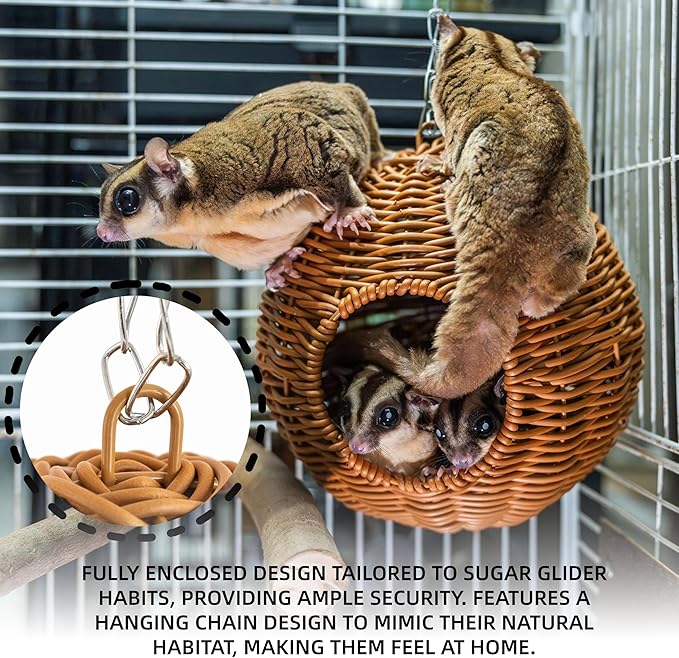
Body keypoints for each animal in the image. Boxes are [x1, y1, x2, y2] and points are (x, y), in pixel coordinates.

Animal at [97, 81, 385, 291]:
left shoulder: (274, 153)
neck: (199, 222)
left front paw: (349, 211)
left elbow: (317, 147)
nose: (101, 232)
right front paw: (279, 266)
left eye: (127, 200)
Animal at [371, 16, 596, 399]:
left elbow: (446, 149)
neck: (497, 53)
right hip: (577, 243)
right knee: (557, 286)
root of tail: (515, 242)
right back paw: (537, 304)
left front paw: (434, 162)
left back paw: (445, 183)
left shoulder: (448, 117)